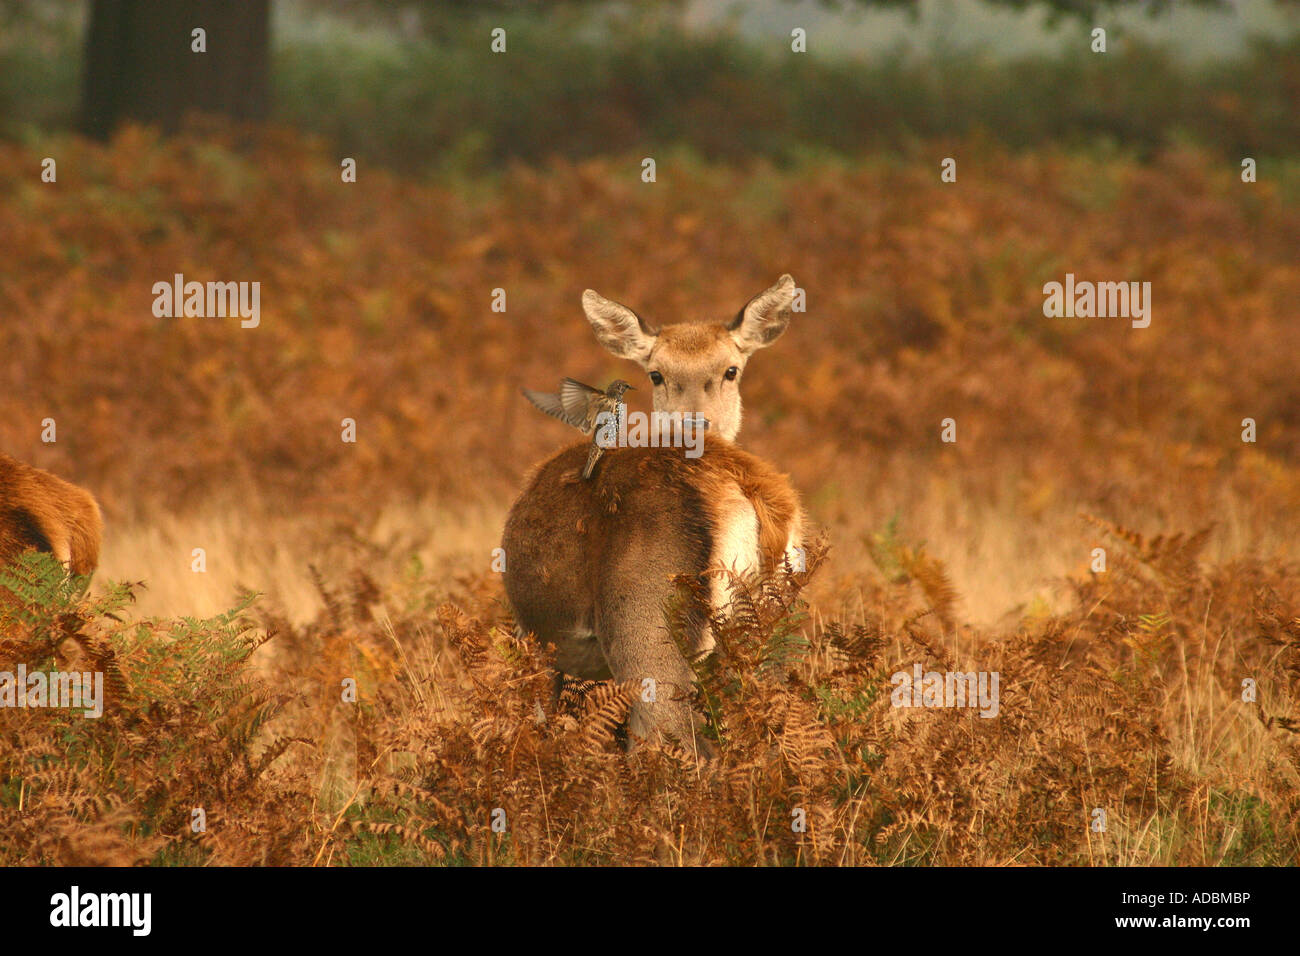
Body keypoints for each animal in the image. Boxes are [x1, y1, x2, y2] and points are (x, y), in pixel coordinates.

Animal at [504, 274, 800, 754]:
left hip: (646, 627)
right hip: (776, 624)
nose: (695, 426)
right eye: (657, 373)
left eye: (731, 370)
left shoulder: (534, 639)